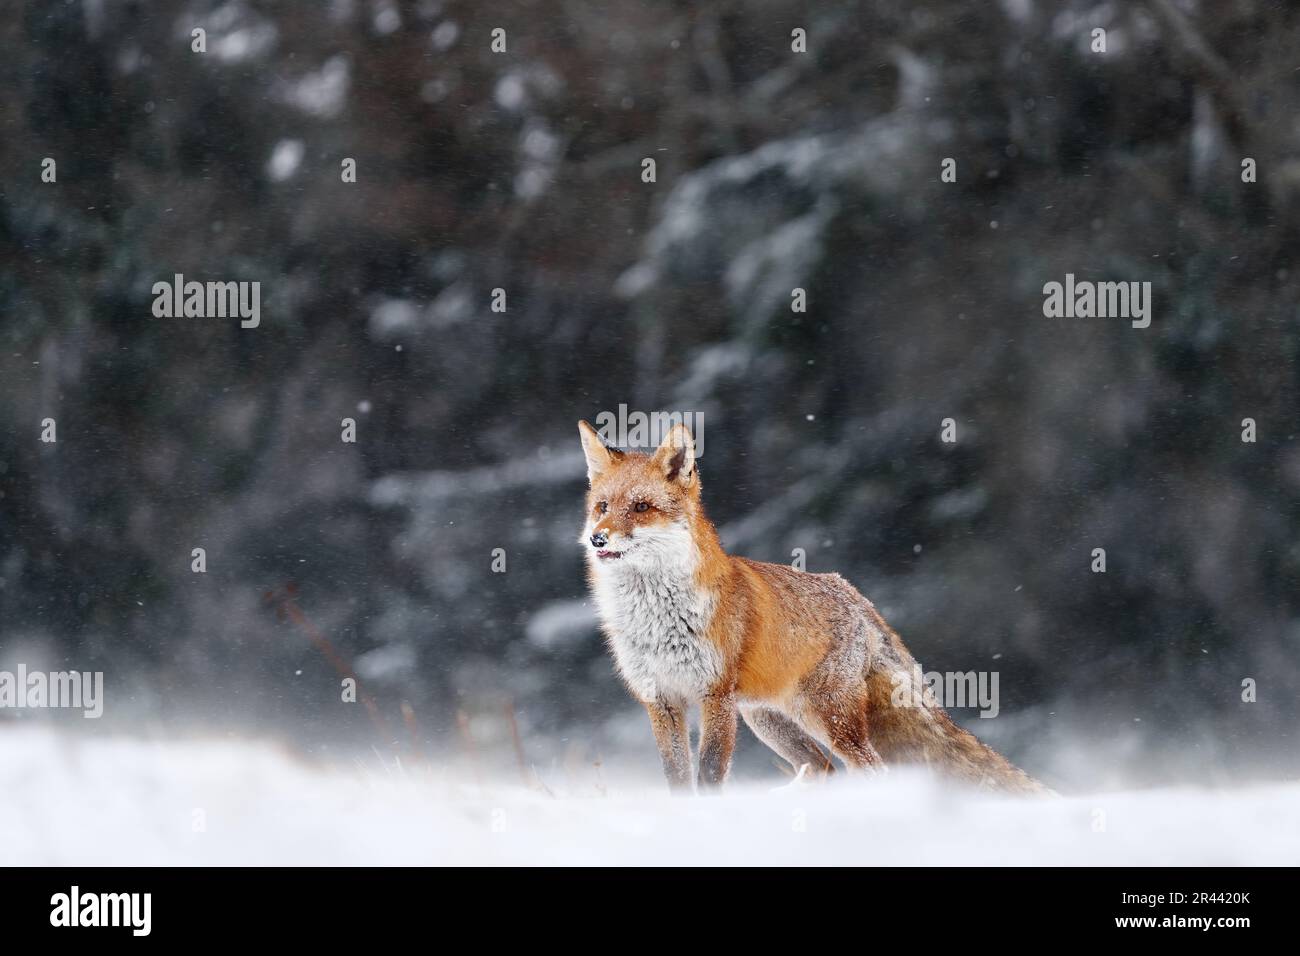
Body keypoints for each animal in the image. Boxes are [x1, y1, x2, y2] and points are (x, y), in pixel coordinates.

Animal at [577, 419, 1048, 794]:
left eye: (641, 507)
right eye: (603, 507)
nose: (598, 538)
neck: (657, 622)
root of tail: (853, 592)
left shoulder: (715, 697)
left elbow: (709, 774)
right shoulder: (660, 699)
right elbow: (676, 778)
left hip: (826, 716)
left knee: (868, 768)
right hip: (768, 719)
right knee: (822, 767)